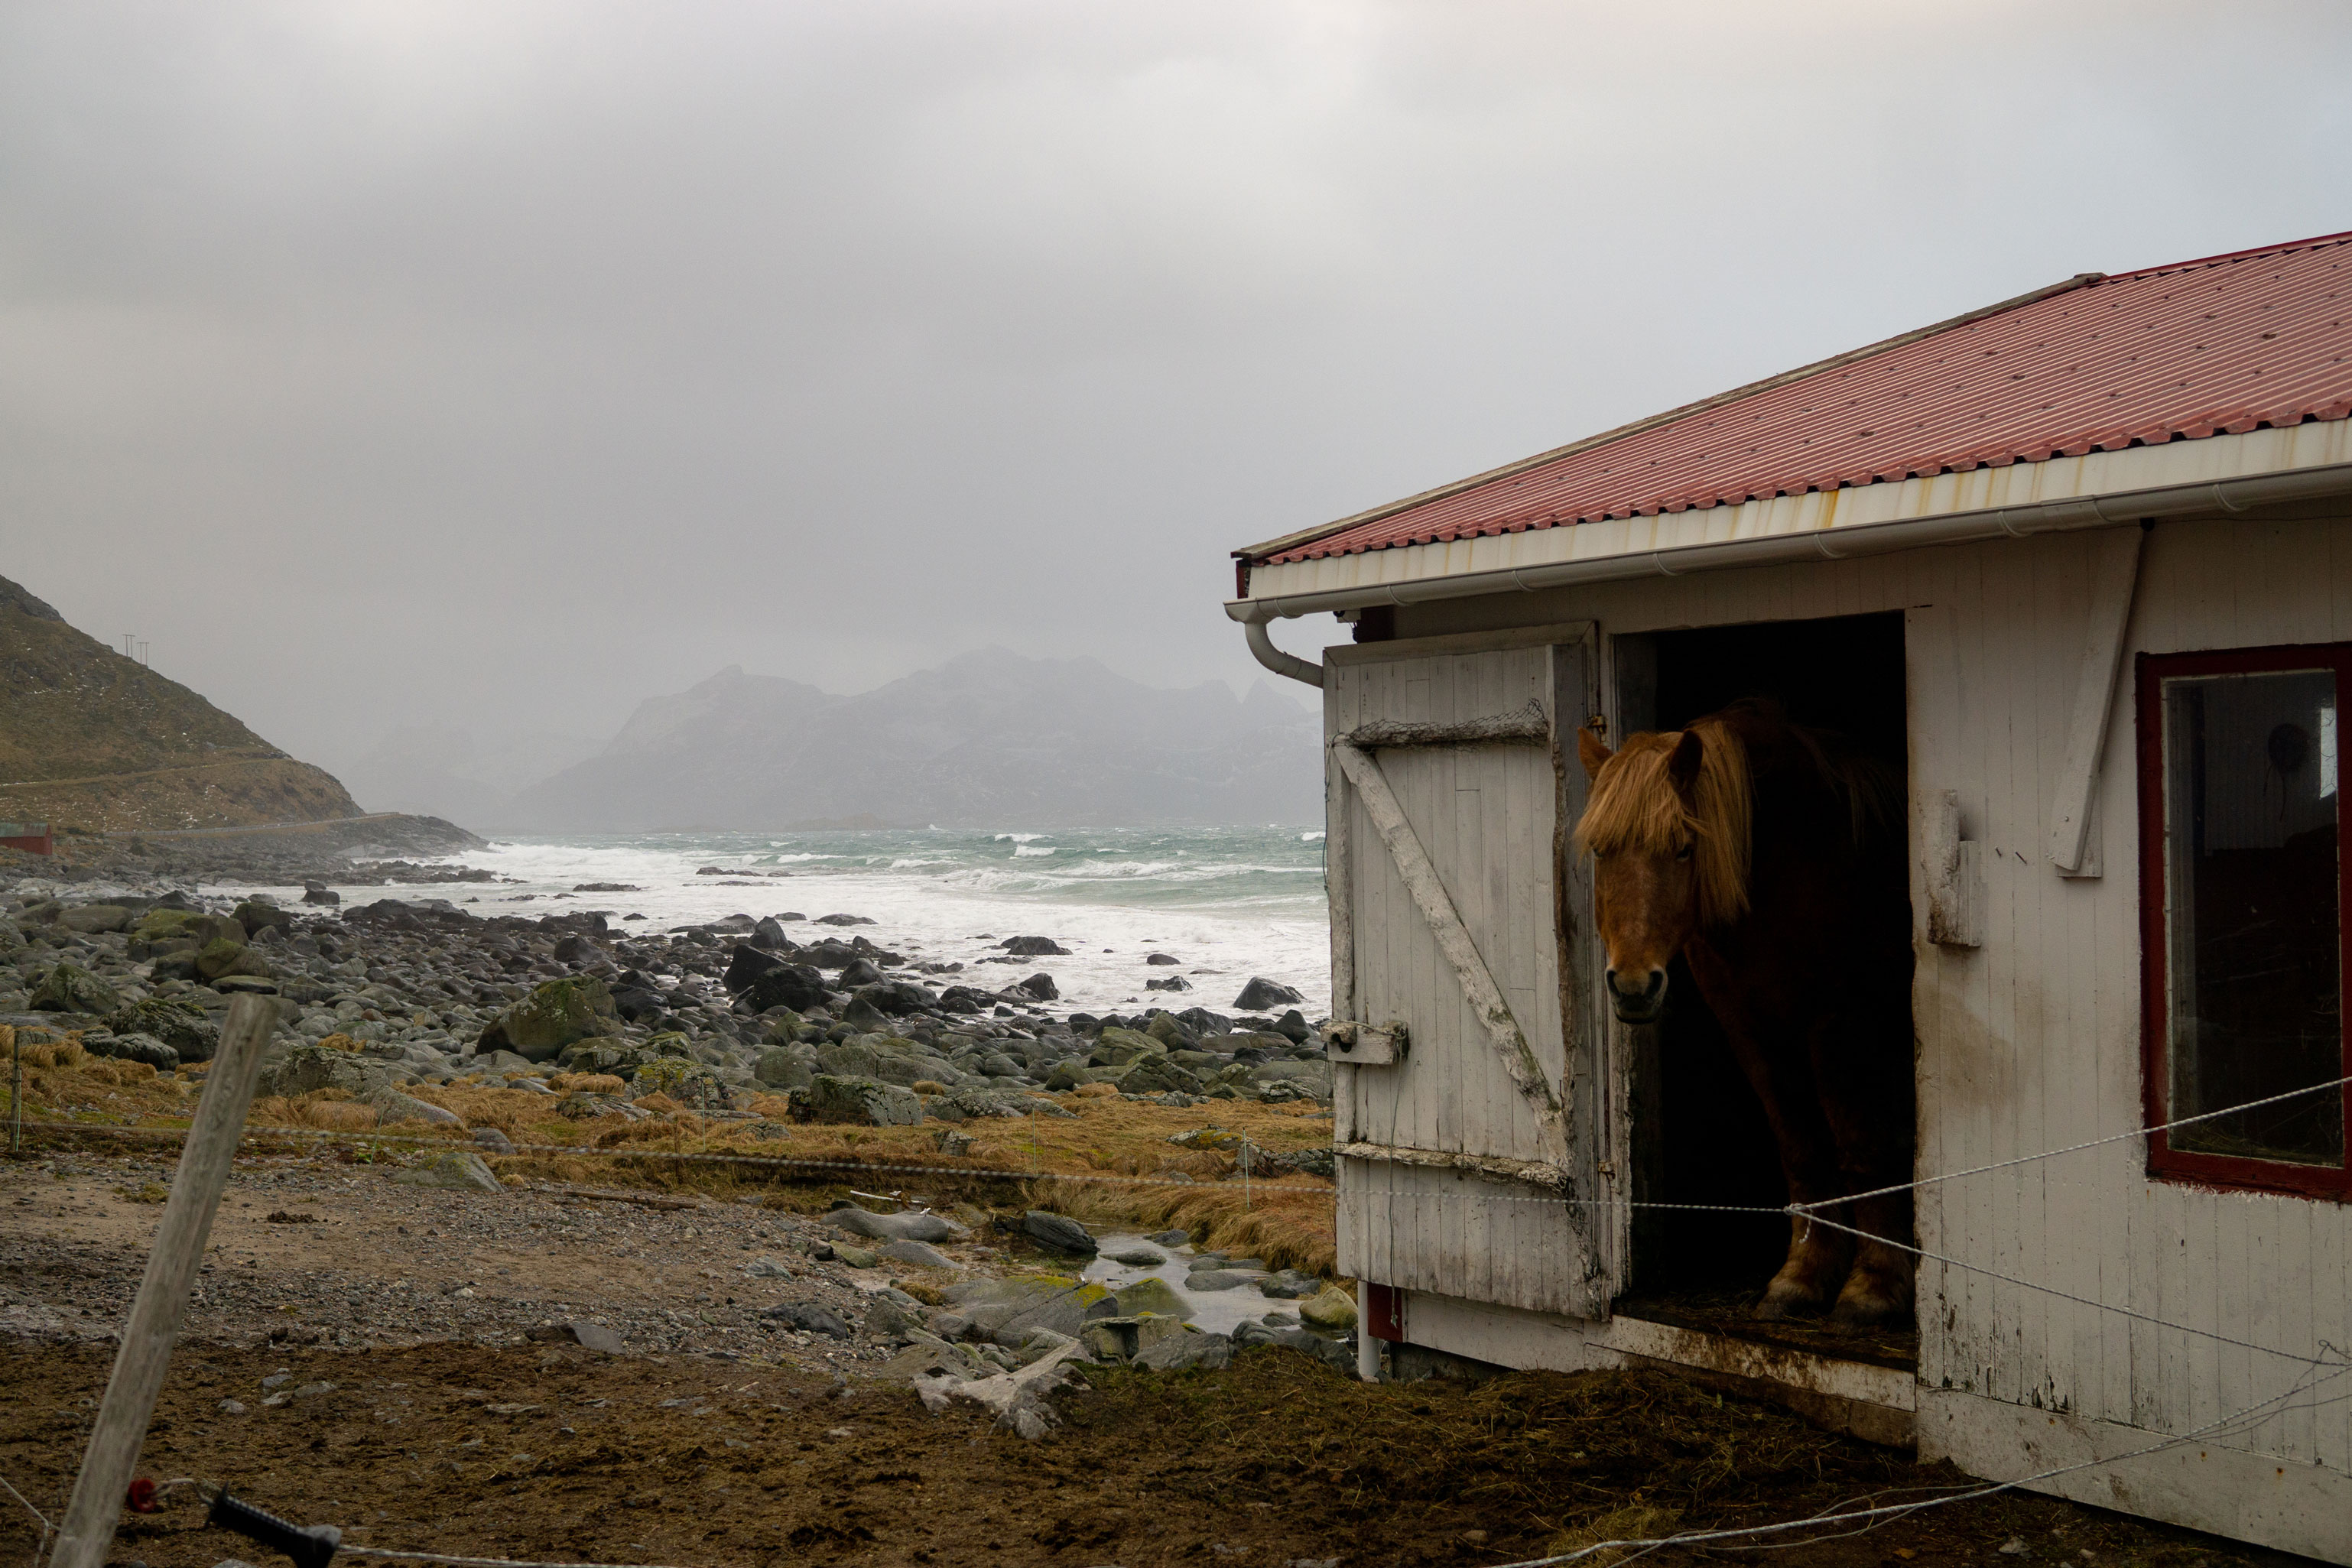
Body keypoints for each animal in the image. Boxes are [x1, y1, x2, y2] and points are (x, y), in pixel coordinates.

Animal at [1580, 700, 1909, 1326]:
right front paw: (1801, 1277)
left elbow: (1860, 1145)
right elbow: (1801, 1148)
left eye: (1684, 847)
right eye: (1600, 851)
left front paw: (1875, 1287)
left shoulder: (1840, 1026)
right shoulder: (1750, 1029)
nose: (1632, 987)